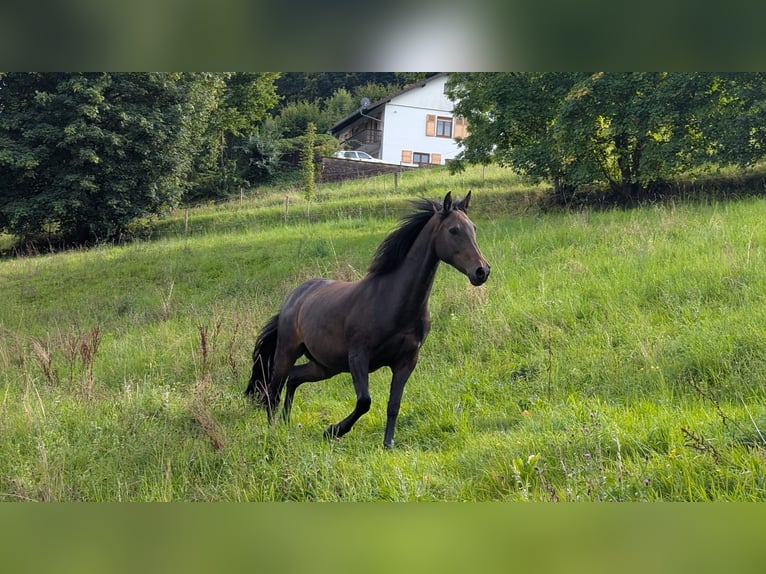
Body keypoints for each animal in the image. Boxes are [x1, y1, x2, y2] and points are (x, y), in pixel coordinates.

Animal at [245, 191, 490, 448]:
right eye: (453, 230)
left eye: (473, 228)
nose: (482, 271)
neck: (392, 300)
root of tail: (293, 299)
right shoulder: (358, 357)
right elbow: (364, 401)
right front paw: (333, 430)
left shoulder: (407, 361)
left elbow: (394, 404)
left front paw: (388, 443)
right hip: (288, 351)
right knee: (273, 390)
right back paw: (274, 431)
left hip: (324, 366)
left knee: (293, 379)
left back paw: (286, 422)